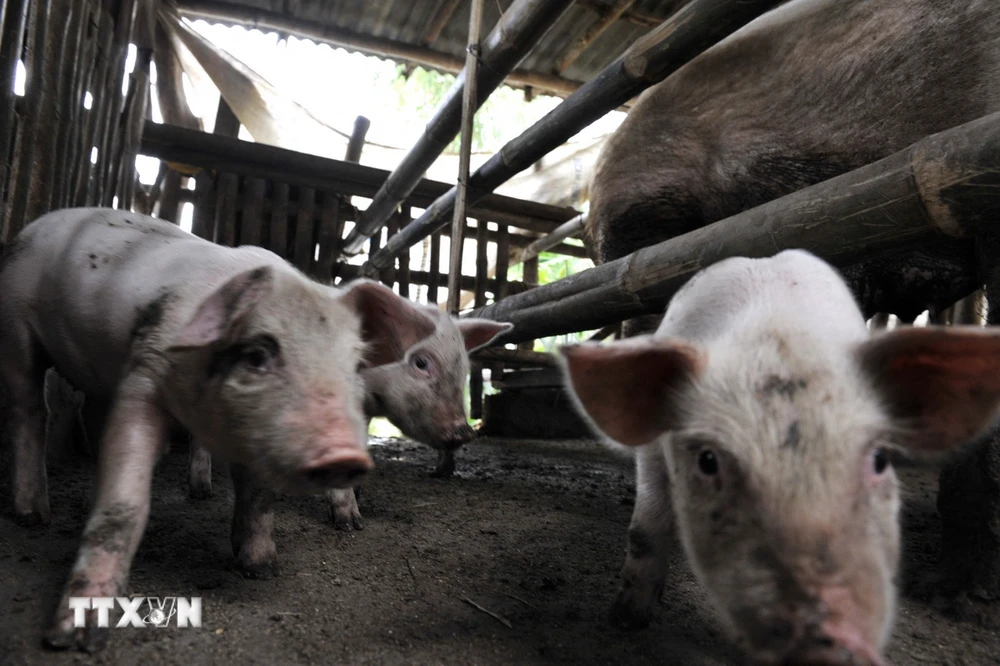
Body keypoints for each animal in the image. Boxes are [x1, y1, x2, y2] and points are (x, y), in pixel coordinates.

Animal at [0, 209, 438, 648]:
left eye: (354, 364)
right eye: (257, 354)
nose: (343, 454)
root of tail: (34, 226)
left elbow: (258, 495)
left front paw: (261, 566)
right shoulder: (143, 375)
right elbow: (123, 505)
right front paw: (73, 638)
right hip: (16, 323)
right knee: (29, 409)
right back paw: (33, 517)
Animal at [564, 249, 1000, 664]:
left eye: (880, 459)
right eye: (708, 461)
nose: (830, 644)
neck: (777, 338)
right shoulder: (654, 446)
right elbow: (646, 527)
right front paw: (625, 620)